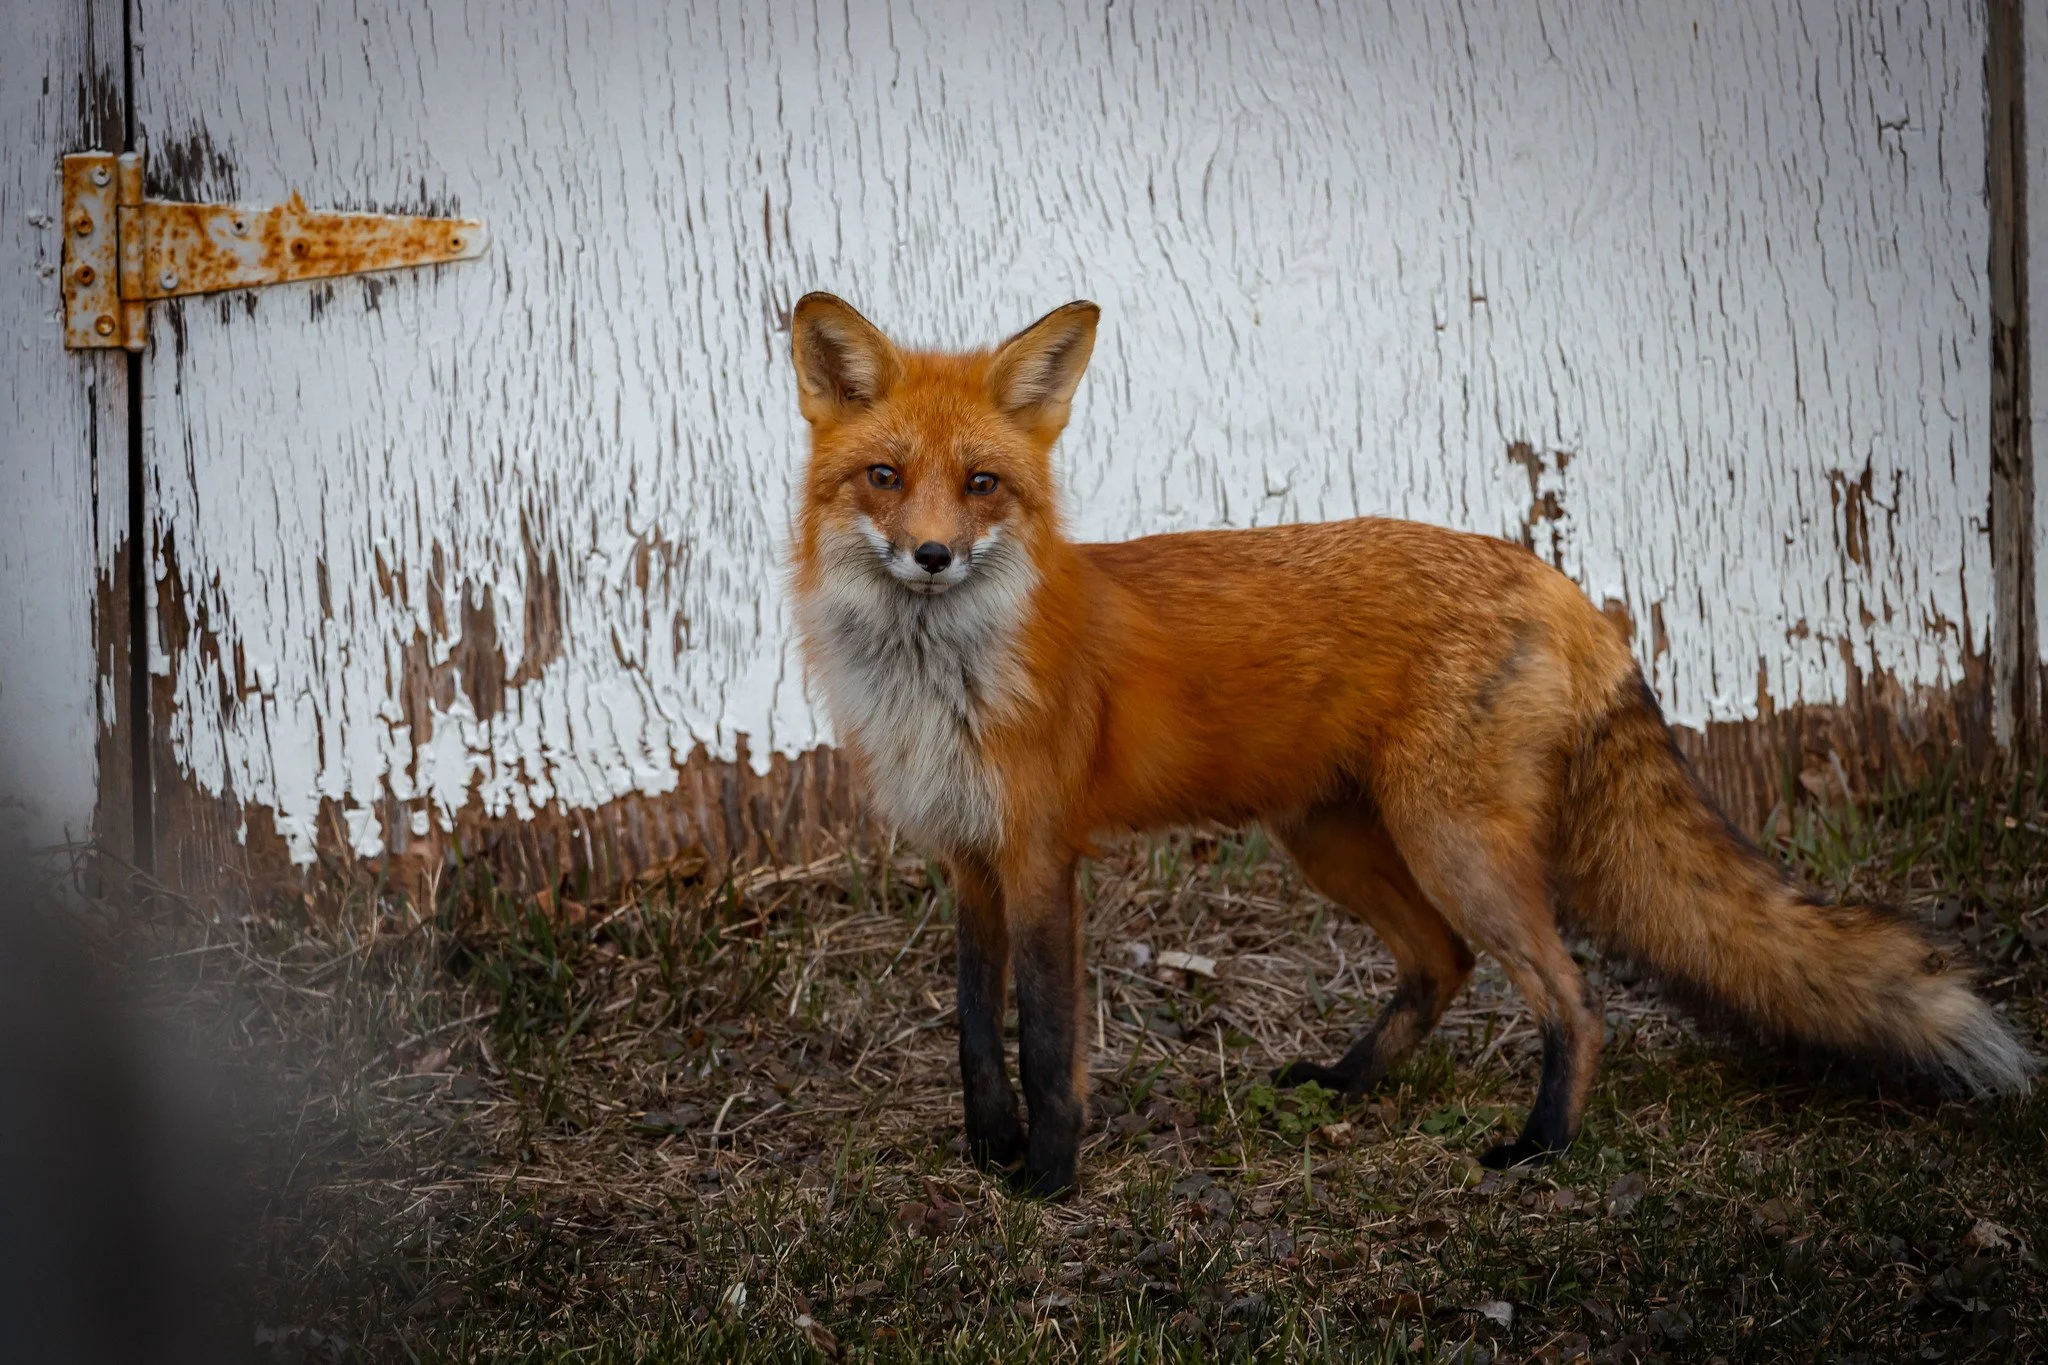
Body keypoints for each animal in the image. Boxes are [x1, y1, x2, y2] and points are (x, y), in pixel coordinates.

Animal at [787, 292, 2037, 1198]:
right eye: (884, 477)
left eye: (982, 484)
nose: (932, 556)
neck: (939, 679)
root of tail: (1563, 585)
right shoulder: (966, 859)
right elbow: (973, 1034)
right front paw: (984, 1154)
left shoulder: (1043, 855)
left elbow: (1046, 1044)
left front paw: (1045, 1180)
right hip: (1333, 840)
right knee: (1443, 964)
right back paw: (1342, 1086)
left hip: (1448, 843)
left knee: (1570, 998)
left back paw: (1537, 1149)